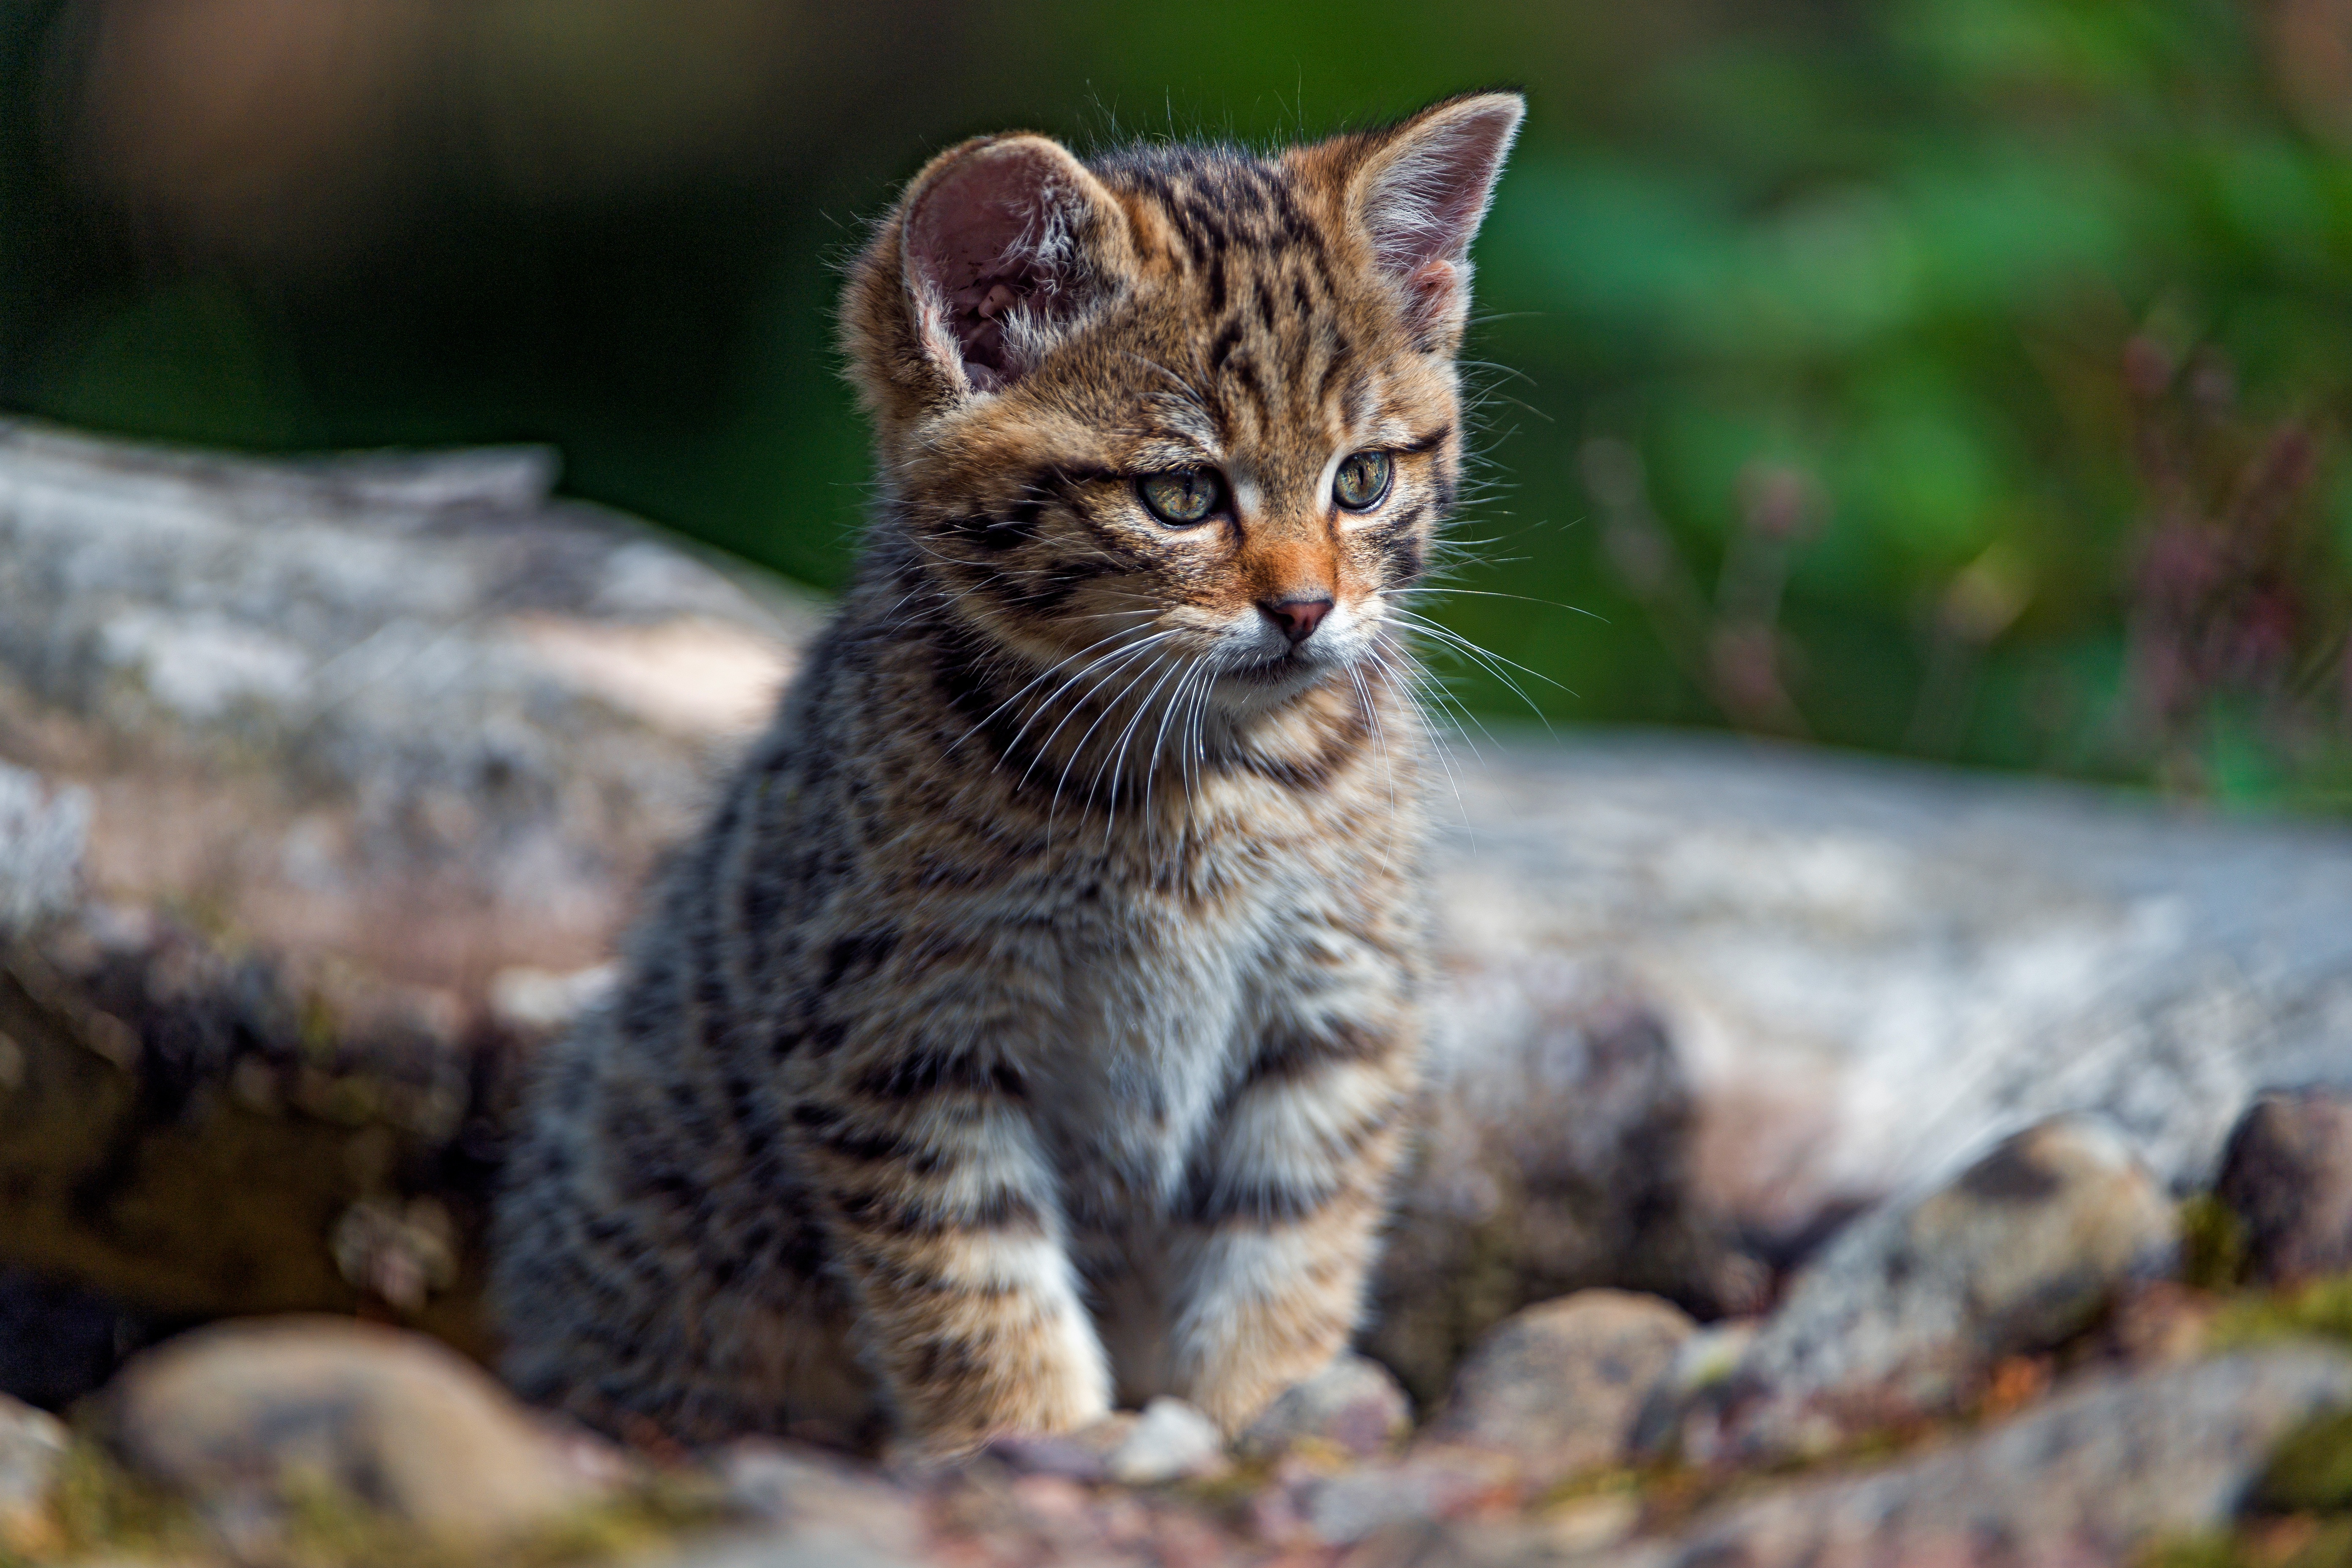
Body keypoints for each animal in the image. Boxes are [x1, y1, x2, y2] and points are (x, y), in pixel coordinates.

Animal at [491, 92, 1524, 1457]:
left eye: (1361, 479)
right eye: (1179, 493)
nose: (1307, 609)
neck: (1197, 778)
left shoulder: (1334, 1001)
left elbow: (1287, 1234)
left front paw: (1263, 1406)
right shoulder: (888, 1027)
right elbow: (969, 1269)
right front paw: (1031, 1435)